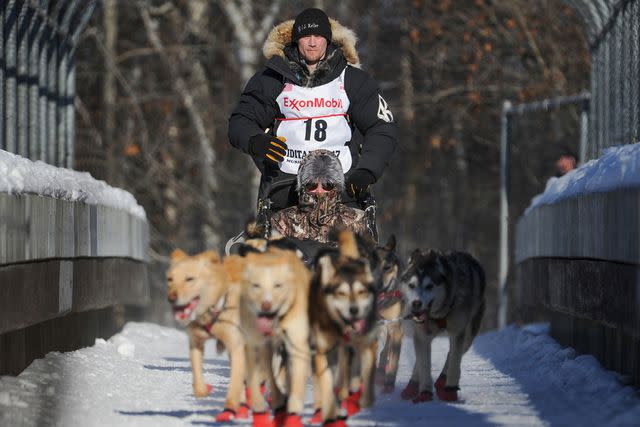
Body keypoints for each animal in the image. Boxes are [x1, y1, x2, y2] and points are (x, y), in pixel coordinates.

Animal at [166, 251, 249, 422]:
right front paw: (203, 389)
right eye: (169, 279)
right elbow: (197, 378)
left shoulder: (236, 347)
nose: (171, 298)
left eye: (189, 279)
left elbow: (235, 383)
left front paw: (230, 408)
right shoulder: (196, 343)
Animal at [239, 246, 312, 427]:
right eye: (256, 285)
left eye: (278, 285)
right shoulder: (255, 346)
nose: (266, 305)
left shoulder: (297, 346)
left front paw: (291, 416)